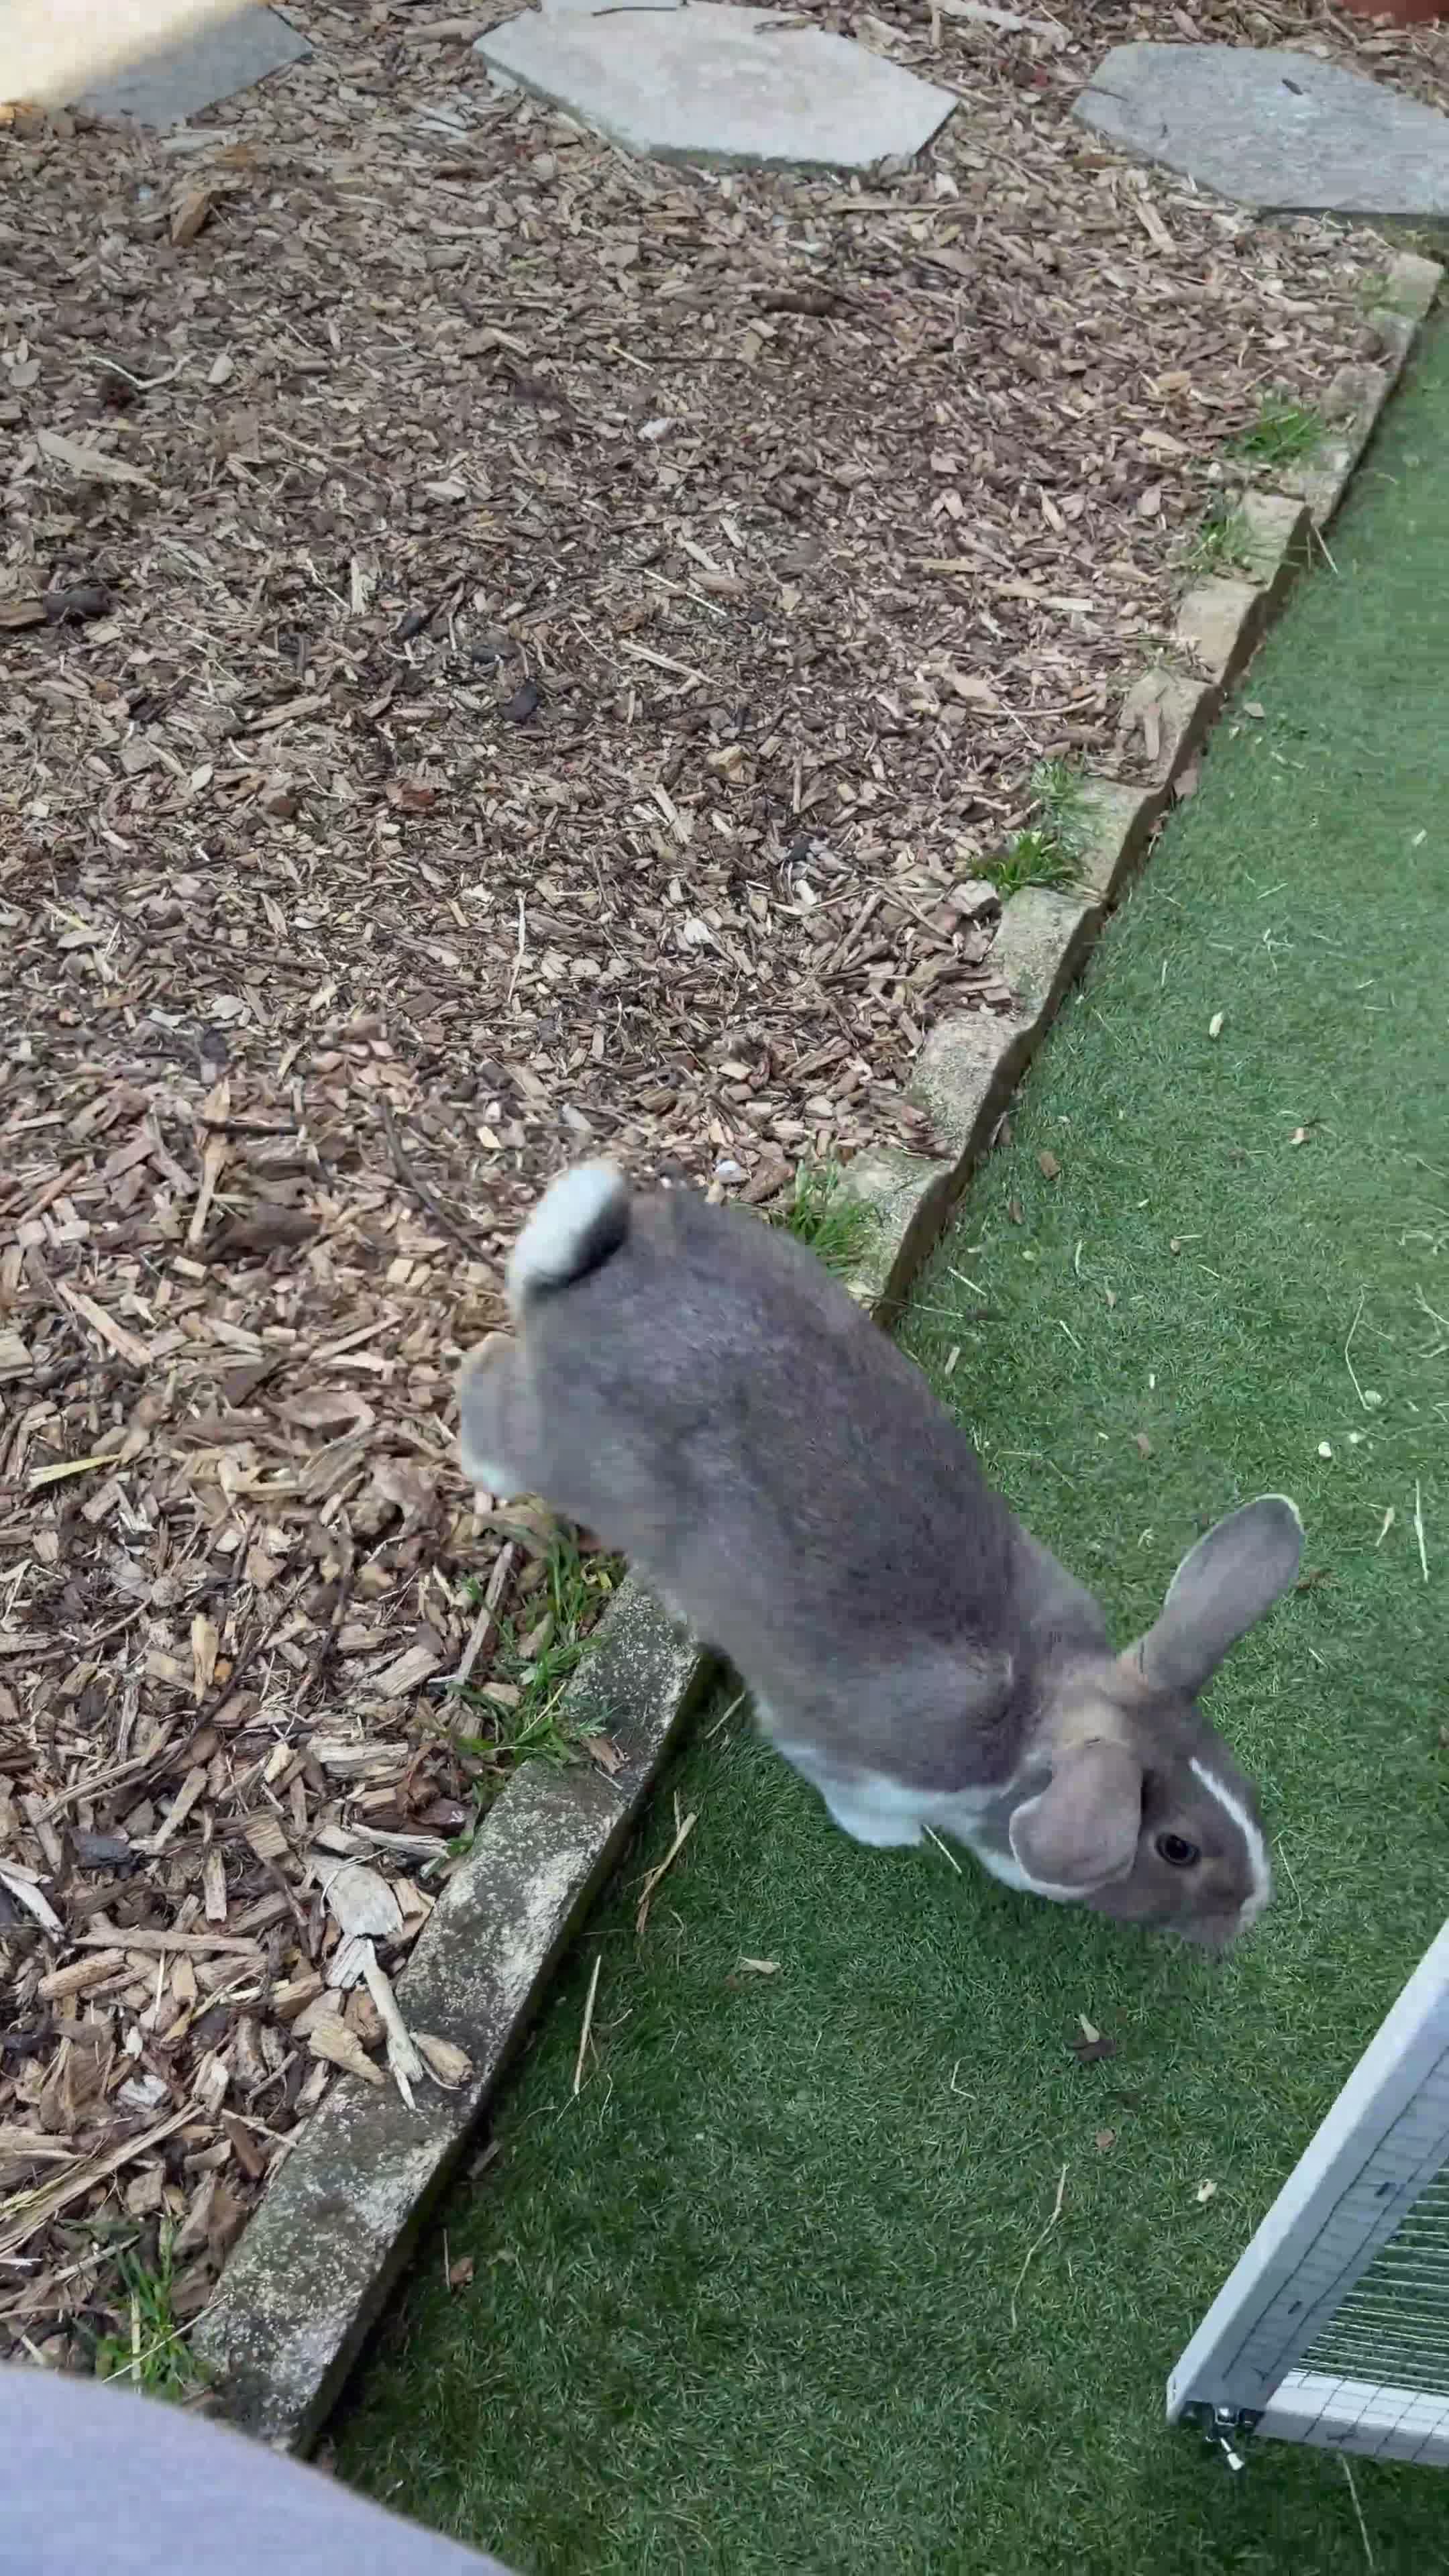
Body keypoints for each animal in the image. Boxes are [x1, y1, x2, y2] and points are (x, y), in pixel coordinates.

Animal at [457, 1163, 1303, 1949]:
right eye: (1176, 1847)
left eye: (1237, 1779)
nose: (1253, 1909)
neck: (1034, 1715)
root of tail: (593, 1262)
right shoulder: (839, 1751)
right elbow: (847, 1792)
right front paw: (894, 1839)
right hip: (570, 1454)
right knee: (490, 1384)